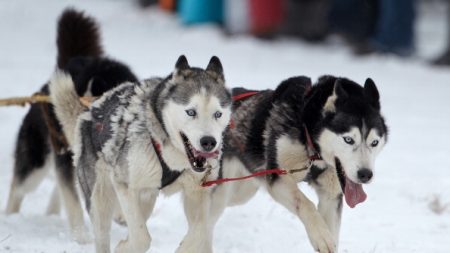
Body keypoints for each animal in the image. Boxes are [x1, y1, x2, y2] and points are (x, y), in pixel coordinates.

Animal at [5, 8, 137, 243]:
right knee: (18, 187)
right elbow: (74, 201)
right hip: (37, 164)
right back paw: (11, 217)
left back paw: (51, 214)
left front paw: (121, 215)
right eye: (79, 97)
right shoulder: (67, 158)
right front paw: (81, 237)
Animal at [50, 54, 232, 252]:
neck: (172, 158)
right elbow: (141, 238)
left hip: (147, 197)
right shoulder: (124, 185)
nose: (209, 142)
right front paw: (124, 247)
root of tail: (90, 110)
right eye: (191, 112)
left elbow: (201, 232)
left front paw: (186, 247)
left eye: (217, 114)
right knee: (105, 234)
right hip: (101, 198)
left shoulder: (197, 193)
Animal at [207, 76, 386, 253]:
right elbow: (305, 203)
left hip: (241, 191)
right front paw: (321, 236)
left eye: (375, 142)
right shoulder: (279, 178)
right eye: (348, 139)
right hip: (221, 192)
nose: (365, 174)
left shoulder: (330, 196)